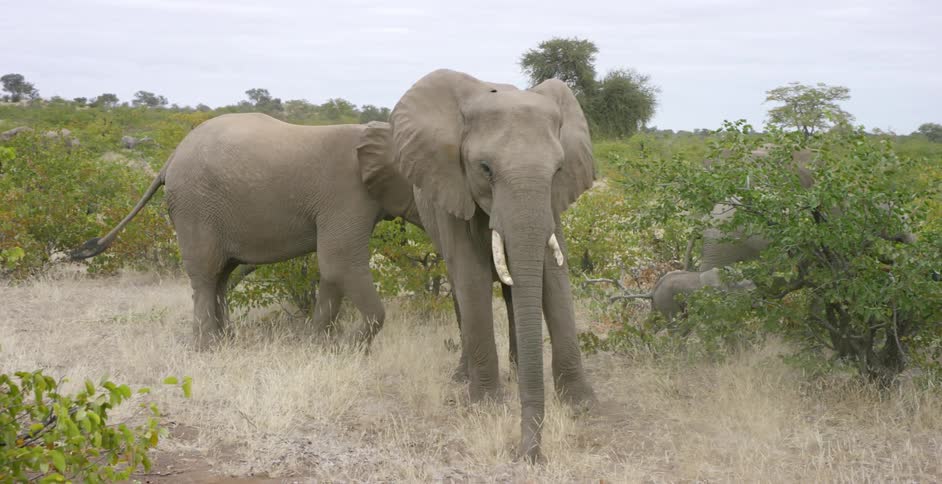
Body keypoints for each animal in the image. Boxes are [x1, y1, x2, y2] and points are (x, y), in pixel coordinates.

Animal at [72, 113, 418, 349]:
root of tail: (170, 159)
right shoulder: (345, 197)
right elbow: (340, 262)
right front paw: (349, 350)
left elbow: (332, 272)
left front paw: (320, 347)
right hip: (195, 206)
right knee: (206, 273)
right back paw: (208, 348)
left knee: (222, 274)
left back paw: (228, 340)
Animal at [376, 69, 597, 462]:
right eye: (485, 169)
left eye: (558, 169)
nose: (530, 455)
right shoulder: (451, 187)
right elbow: (471, 277)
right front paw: (486, 405)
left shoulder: (551, 203)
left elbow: (555, 276)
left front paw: (581, 404)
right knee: (459, 290)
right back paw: (463, 377)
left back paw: (516, 369)